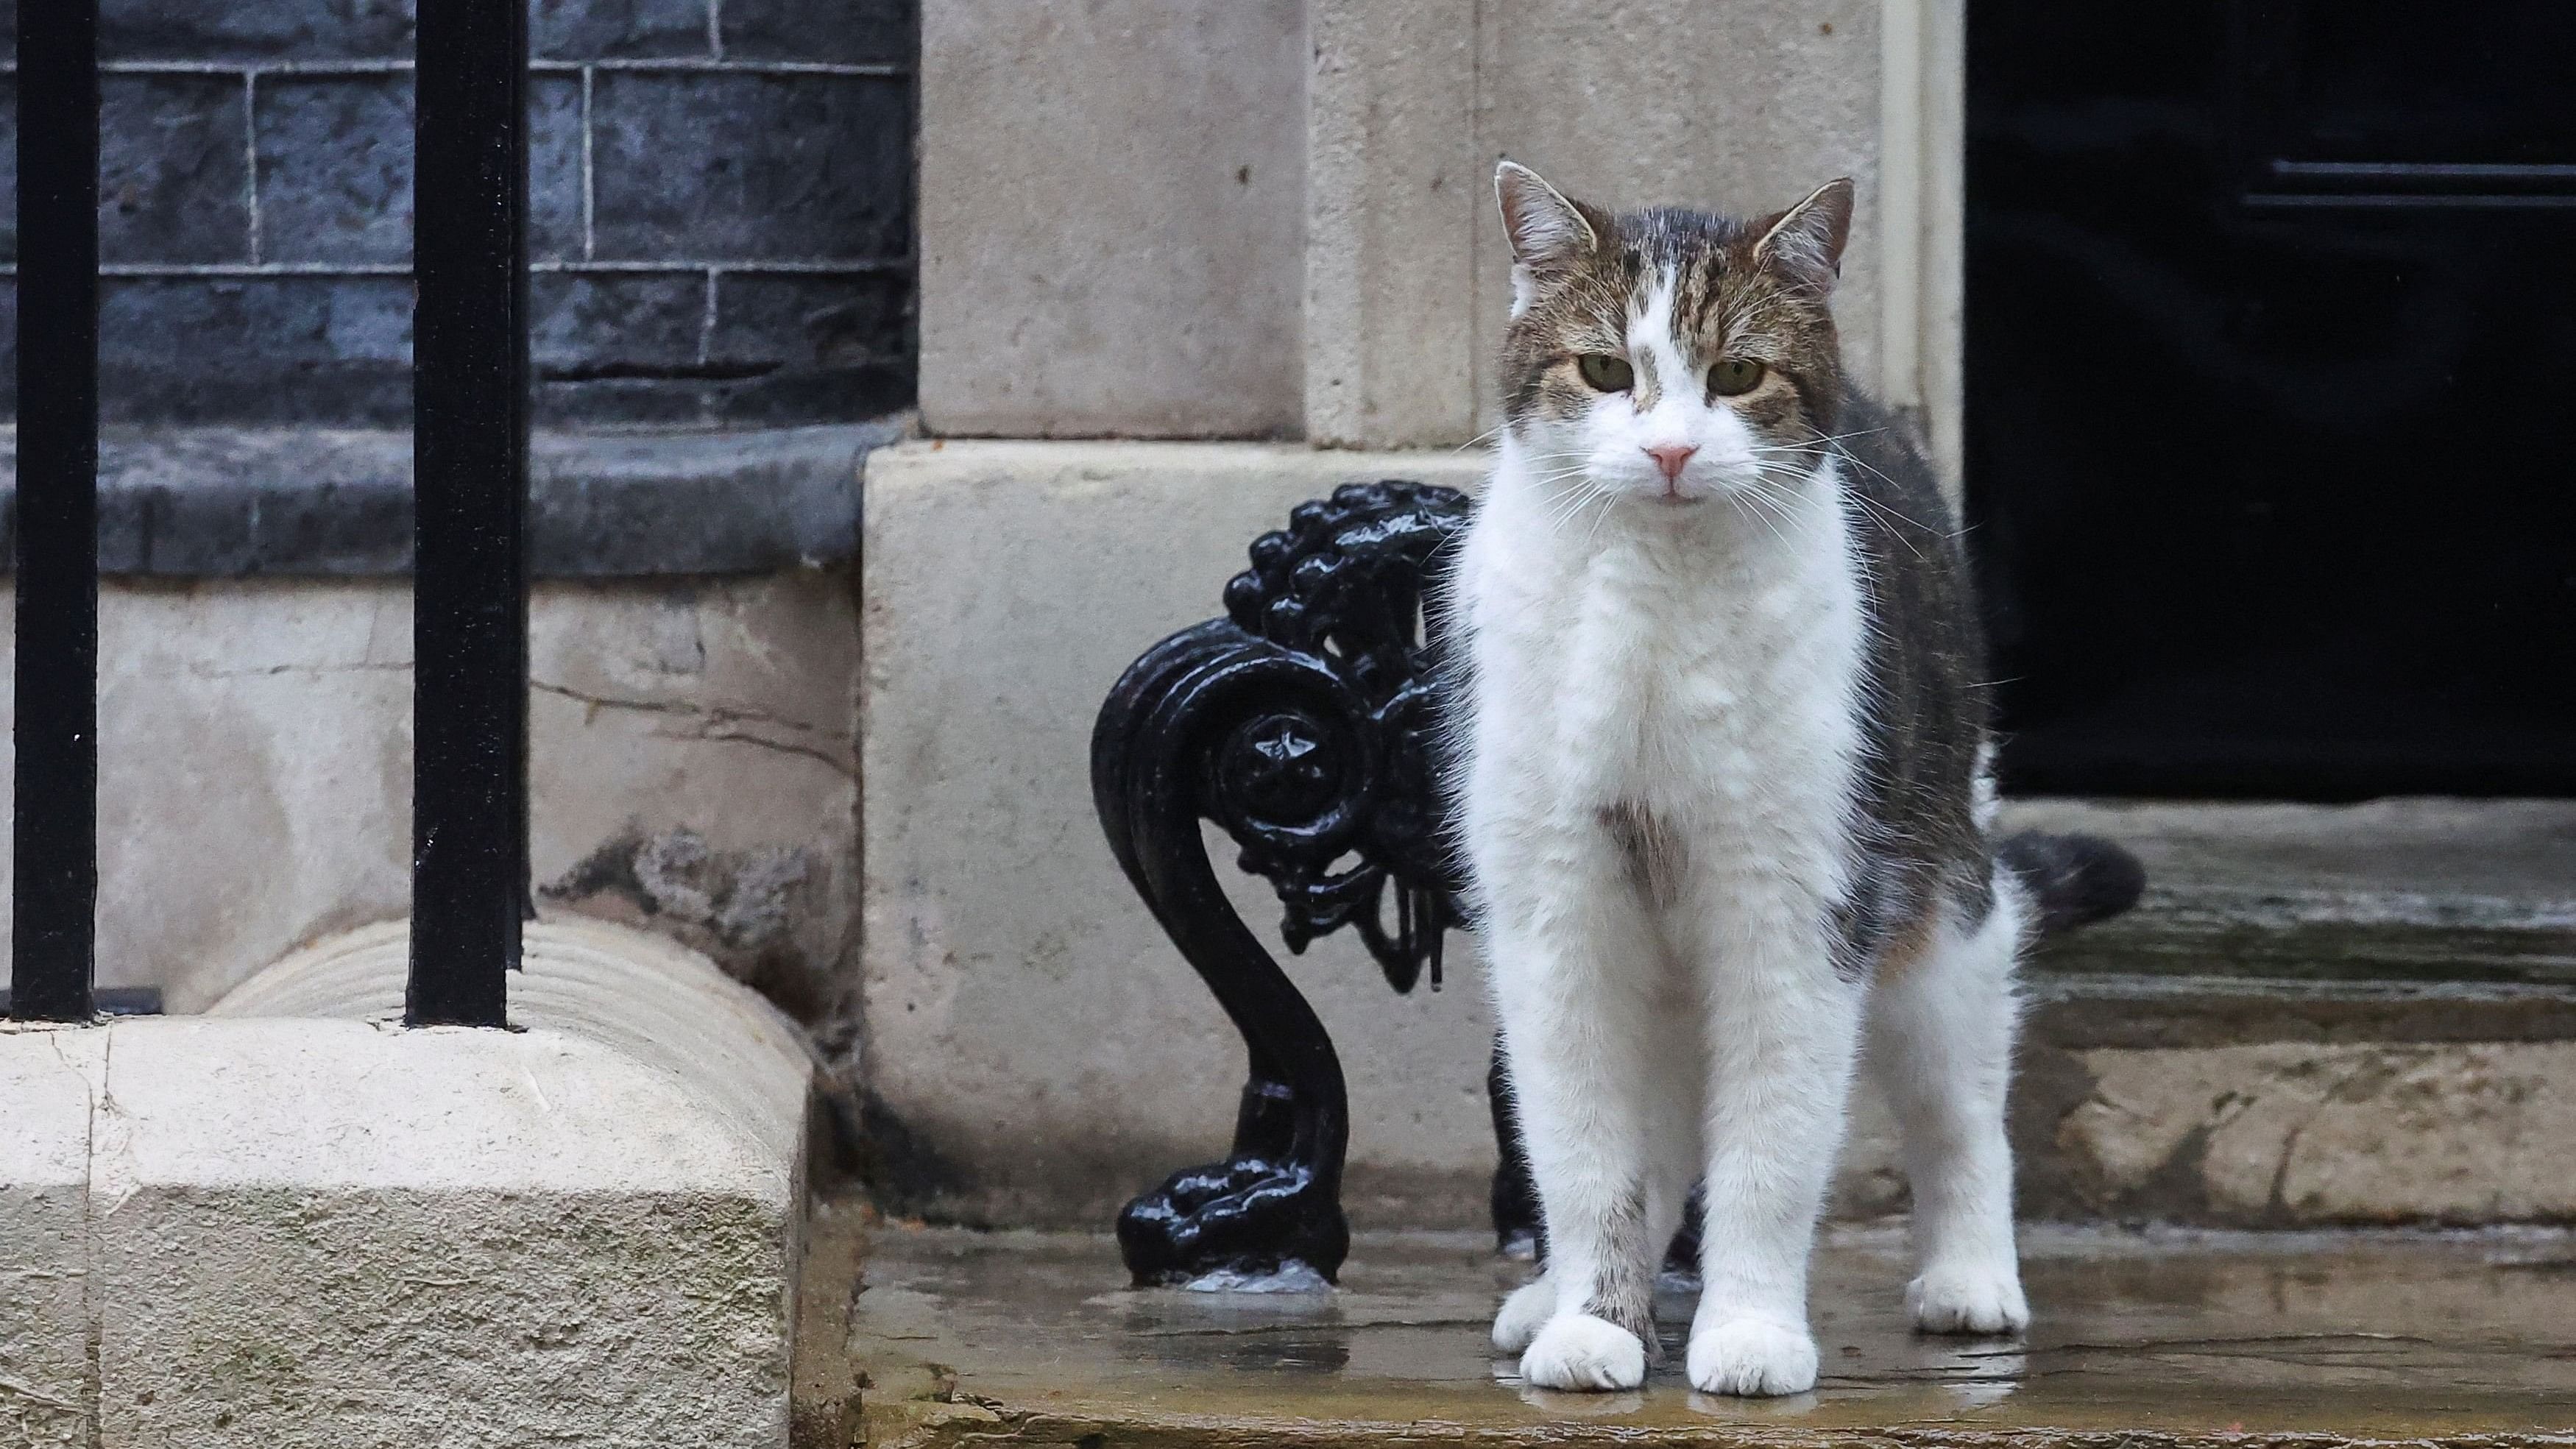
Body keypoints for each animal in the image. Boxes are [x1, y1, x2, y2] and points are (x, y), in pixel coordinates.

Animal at [1453, 164, 2133, 1400]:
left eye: (1737, 375)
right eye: (1605, 370)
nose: (1672, 454)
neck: (1658, 602)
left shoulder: (1798, 908)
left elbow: (1770, 1153)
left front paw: (1751, 1332)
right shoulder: (1559, 912)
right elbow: (1586, 1157)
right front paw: (1595, 1321)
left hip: (1943, 907)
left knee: (1962, 1114)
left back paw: (1972, 1280)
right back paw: (1545, 1302)